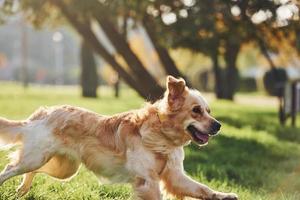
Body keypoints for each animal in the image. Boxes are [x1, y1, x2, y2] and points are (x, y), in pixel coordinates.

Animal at [0, 76, 239, 199]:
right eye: (196, 111)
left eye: (209, 111)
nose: (218, 126)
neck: (162, 135)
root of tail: (44, 112)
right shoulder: (147, 182)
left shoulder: (175, 177)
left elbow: (203, 189)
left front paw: (225, 195)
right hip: (38, 158)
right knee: (10, 168)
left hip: (63, 169)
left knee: (29, 171)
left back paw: (22, 190)